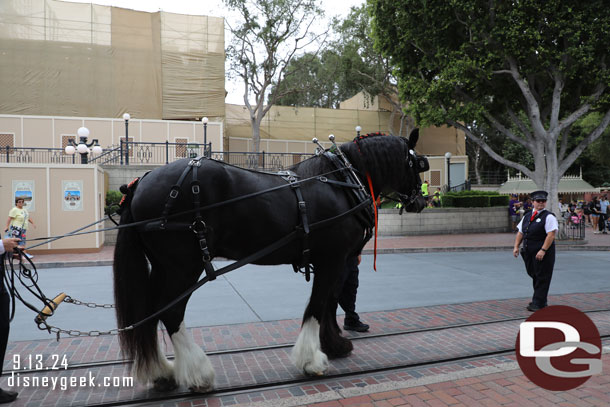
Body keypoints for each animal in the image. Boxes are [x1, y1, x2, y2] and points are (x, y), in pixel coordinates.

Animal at [114, 131, 428, 392]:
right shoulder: (333, 259)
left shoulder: (332, 261)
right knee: (171, 312)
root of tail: (140, 183)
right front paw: (312, 360)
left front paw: (334, 344)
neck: (343, 182)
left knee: (150, 312)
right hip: (183, 267)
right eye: (417, 164)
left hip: (163, 267)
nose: (421, 202)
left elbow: (329, 301)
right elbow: (318, 305)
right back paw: (198, 373)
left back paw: (161, 372)